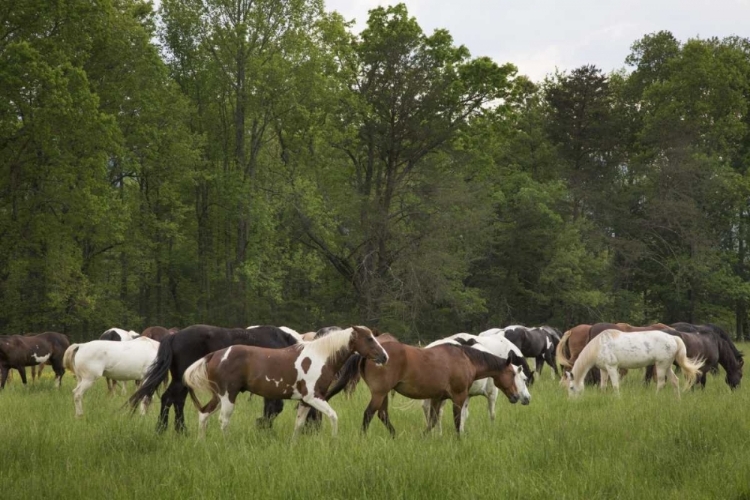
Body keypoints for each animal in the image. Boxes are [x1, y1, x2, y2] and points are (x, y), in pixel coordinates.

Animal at [129, 324, 314, 434]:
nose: (311, 432)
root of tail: (174, 336)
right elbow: (274, 408)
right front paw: (263, 427)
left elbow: (272, 408)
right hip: (180, 380)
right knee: (168, 398)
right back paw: (162, 429)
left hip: (183, 382)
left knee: (178, 400)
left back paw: (181, 430)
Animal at [185, 324, 390, 438]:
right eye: (369, 338)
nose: (385, 357)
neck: (319, 356)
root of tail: (215, 355)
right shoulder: (314, 397)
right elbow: (333, 416)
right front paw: (334, 441)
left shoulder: (305, 401)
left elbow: (299, 424)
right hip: (229, 396)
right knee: (223, 421)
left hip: (219, 396)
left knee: (203, 414)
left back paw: (201, 442)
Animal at [328, 340, 528, 438]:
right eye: (513, 374)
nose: (517, 397)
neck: (465, 359)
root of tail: (369, 354)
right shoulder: (458, 396)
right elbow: (457, 420)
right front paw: (459, 439)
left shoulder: (437, 398)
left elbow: (432, 421)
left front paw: (424, 436)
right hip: (379, 393)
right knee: (369, 414)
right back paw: (364, 437)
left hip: (382, 394)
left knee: (382, 415)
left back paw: (395, 436)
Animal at [568, 328, 704, 398]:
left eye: (571, 387)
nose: (571, 401)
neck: (600, 345)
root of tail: (673, 338)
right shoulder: (604, 369)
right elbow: (603, 385)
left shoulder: (612, 368)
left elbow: (615, 385)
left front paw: (617, 399)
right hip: (667, 366)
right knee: (675, 380)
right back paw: (677, 400)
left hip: (661, 365)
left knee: (661, 383)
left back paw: (656, 398)